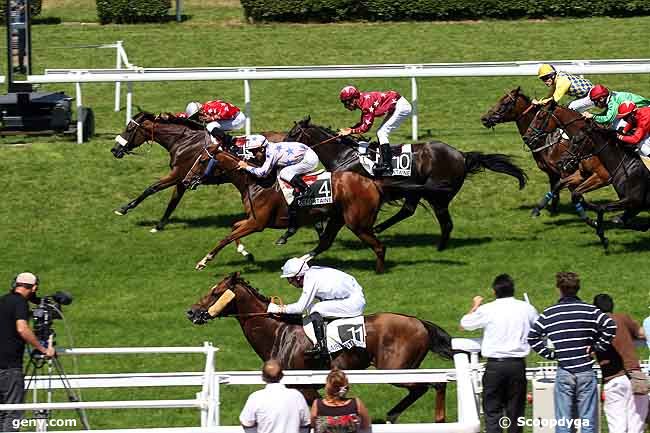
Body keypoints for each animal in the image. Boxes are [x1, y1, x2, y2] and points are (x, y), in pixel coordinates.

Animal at [185, 145, 432, 274]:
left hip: (358, 223)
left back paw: (378, 272)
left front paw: (203, 261)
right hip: (338, 218)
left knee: (379, 246)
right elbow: (233, 227)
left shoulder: (258, 223)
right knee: (325, 242)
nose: (186, 181)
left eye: (201, 161)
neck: (256, 182)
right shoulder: (252, 220)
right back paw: (302, 262)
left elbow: (226, 237)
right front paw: (245, 252)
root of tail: (373, 183)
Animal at [186, 274, 450, 422]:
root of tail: (419, 322)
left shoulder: (306, 386)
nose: (191, 311)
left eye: (215, 292)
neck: (279, 334)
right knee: (430, 385)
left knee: (432, 384)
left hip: (394, 370)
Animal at [284, 115, 528, 250]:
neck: (345, 155)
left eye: (293, 133)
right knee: (409, 210)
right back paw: (383, 228)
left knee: (444, 222)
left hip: (437, 195)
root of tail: (461, 155)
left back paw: (439, 248)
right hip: (417, 190)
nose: (280, 144)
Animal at [478, 87, 612, 219]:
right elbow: (555, 191)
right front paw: (550, 211)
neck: (547, 139)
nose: (484, 119)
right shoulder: (552, 173)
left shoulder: (567, 172)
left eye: (504, 103)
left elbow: (574, 192)